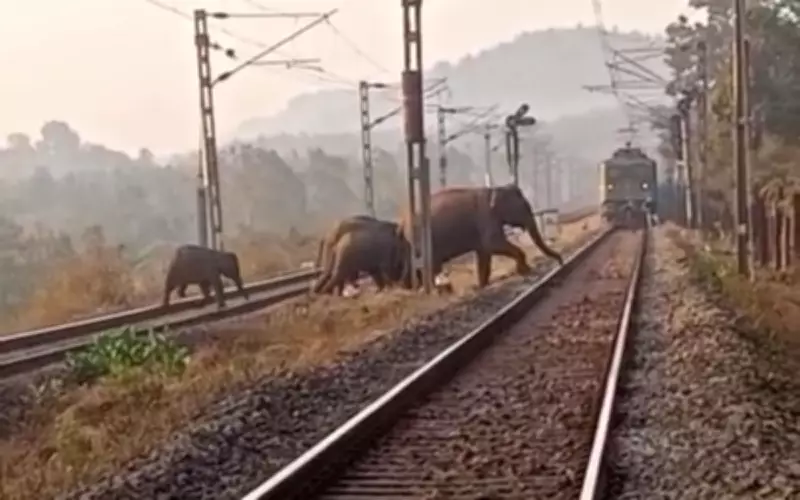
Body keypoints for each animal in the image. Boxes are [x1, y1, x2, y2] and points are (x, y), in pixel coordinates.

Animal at [397, 184, 563, 289]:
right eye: (523, 206)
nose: (560, 261)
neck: (494, 189)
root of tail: (402, 222)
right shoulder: (486, 218)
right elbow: (494, 244)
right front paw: (525, 270)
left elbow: (484, 253)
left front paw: (482, 285)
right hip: (423, 239)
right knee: (431, 265)